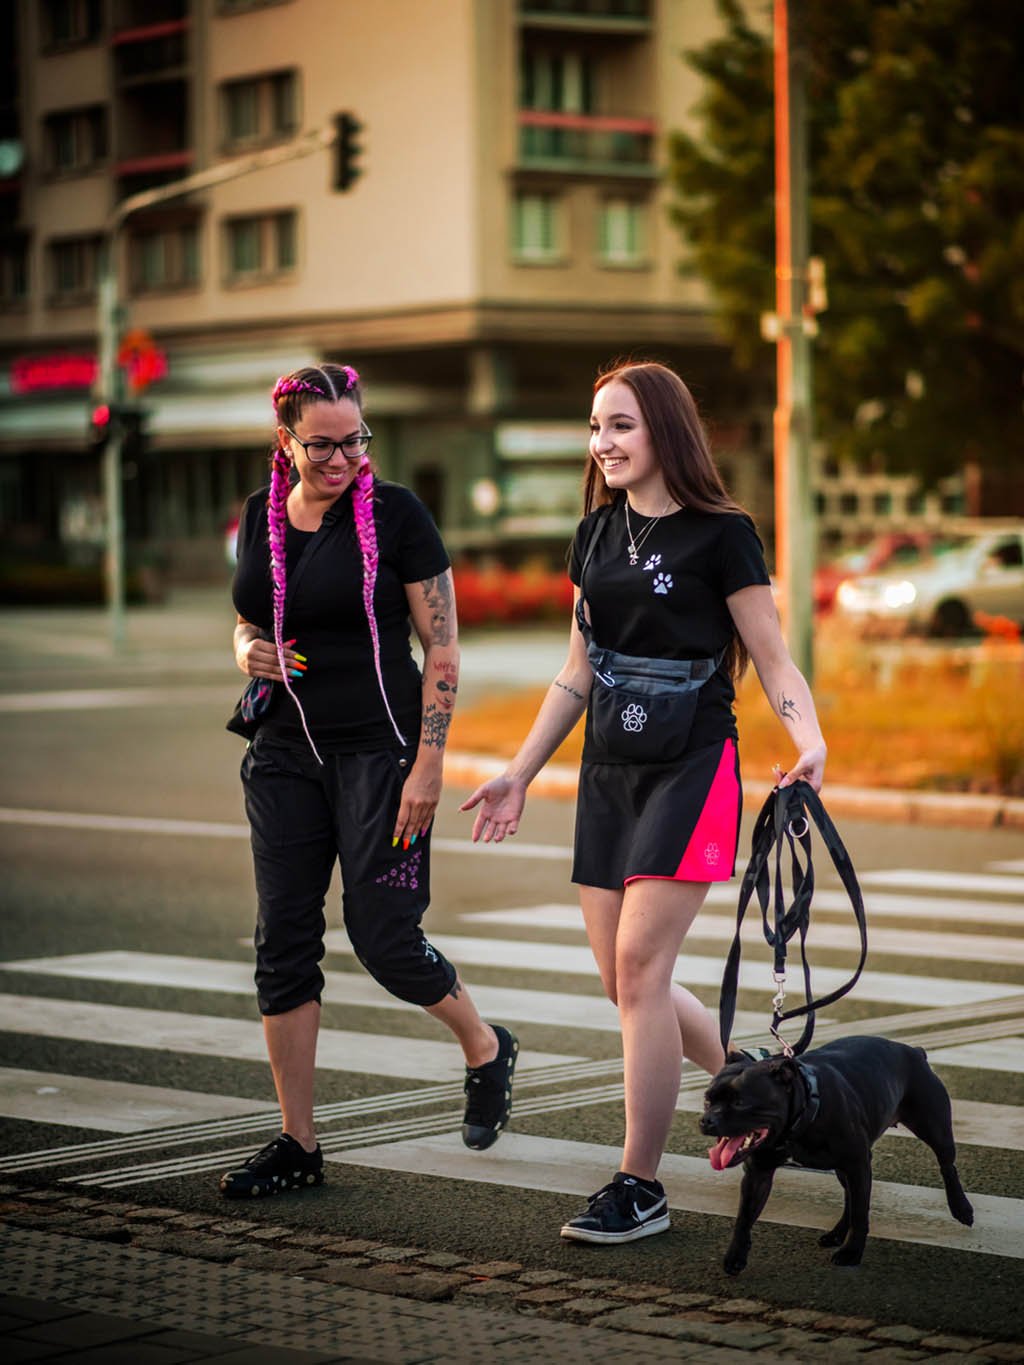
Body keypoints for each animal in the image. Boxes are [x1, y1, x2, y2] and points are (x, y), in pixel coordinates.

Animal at [704, 1037, 972, 1272]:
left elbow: (861, 1214)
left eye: (740, 1102)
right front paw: (735, 1255)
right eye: (707, 1100)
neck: (801, 1118)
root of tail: (915, 1051)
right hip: (845, 1169)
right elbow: (744, 1217)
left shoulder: (858, 1164)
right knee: (849, 1197)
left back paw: (962, 1208)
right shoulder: (758, 1175)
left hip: (934, 1128)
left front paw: (852, 1252)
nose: (706, 1120)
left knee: (947, 1165)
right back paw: (836, 1234)